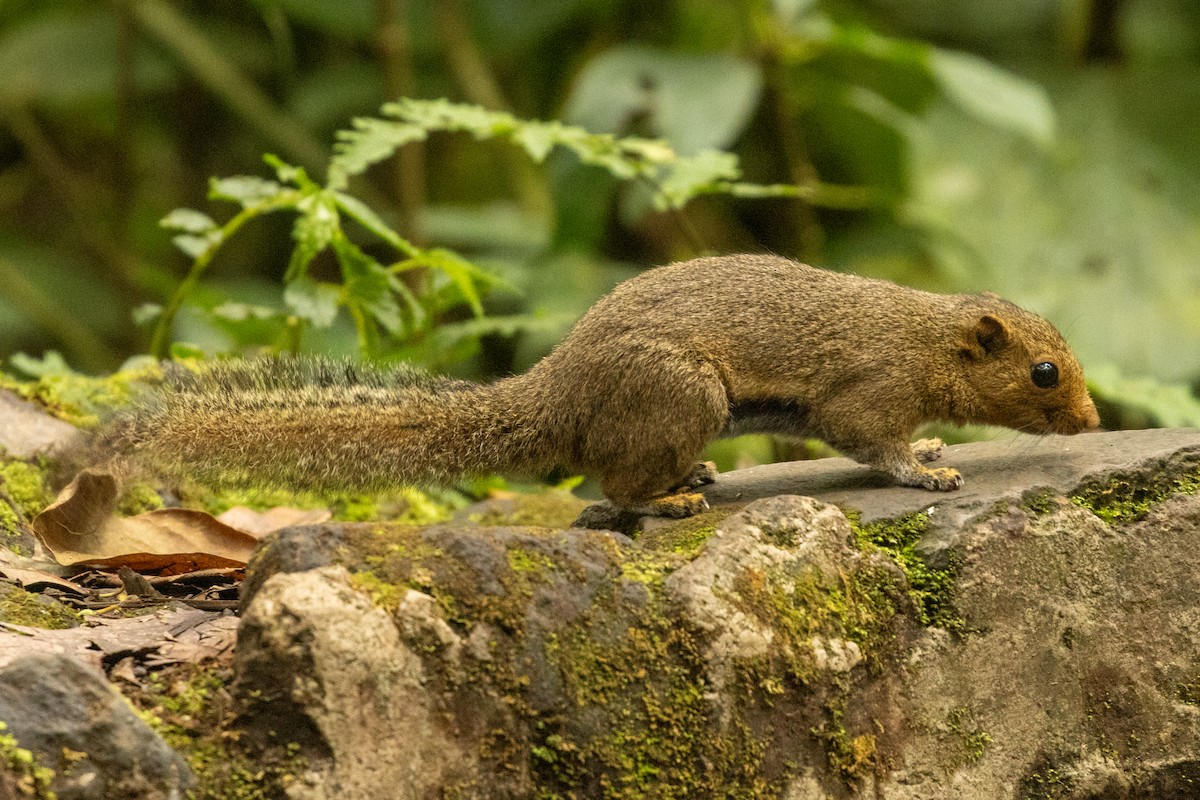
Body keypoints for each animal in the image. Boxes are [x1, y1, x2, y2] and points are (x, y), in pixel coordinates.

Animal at [98, 254, 1100, 518]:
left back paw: (692, 478)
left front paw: (934, 445)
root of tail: (558, 391)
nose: (1093, 421)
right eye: (1044, 372)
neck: (925, 340)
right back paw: (668, 499)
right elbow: (873, 443)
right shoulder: (868, 389)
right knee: (611, 488)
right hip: (682, 395)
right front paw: (927, 468)